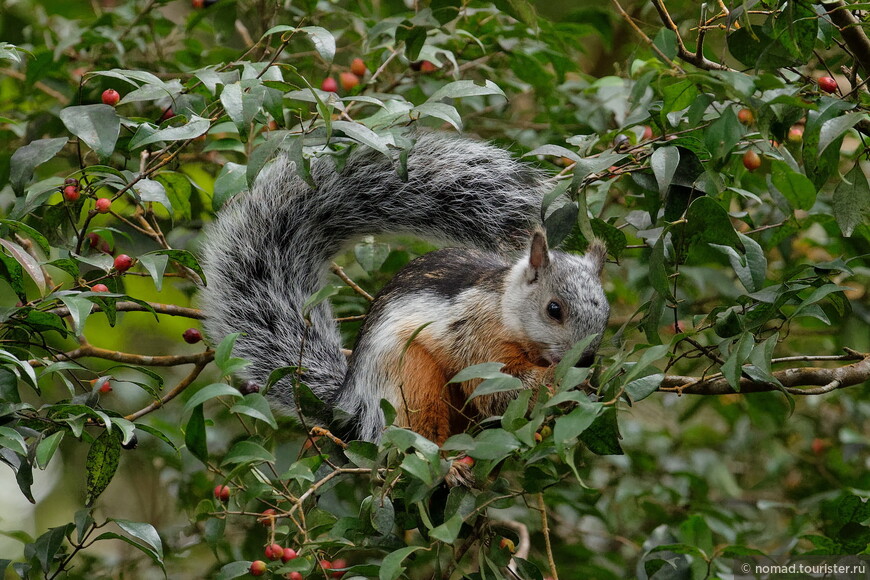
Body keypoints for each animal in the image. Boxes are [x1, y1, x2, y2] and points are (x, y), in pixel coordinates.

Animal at [200, 133, 608, 444]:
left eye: (605, 312)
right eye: (554, 309)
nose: (586, 360)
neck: (505, 309)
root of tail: (350, 402)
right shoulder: (476, 337)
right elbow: (497, 389)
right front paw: (559, 381)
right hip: (408, 380)